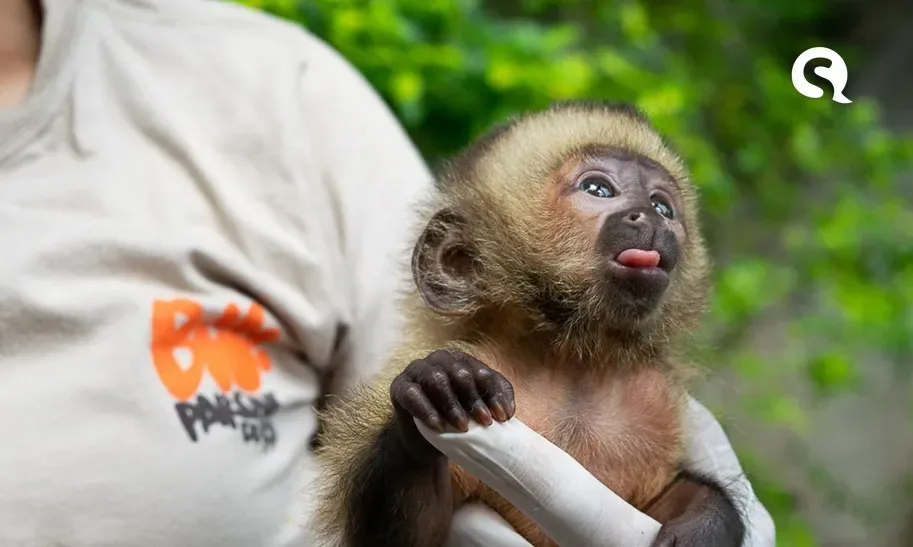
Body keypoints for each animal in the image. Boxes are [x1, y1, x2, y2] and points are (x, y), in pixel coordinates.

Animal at [311, 100, 746, 547]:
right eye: (598, 190)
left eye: (664, 207)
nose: (650, 218)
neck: (571, 362)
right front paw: (441, 387)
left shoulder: (655, 402)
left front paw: (705, 522)